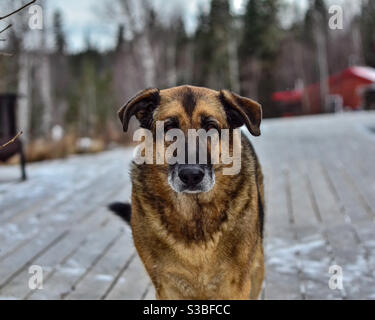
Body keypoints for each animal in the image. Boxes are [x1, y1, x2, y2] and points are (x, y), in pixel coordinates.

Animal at [110, 85, 266, 300]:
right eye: (169, 129)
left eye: (210, 127)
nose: (191, 175)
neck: (193, 215)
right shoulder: (166, 286)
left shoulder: (237, 285)